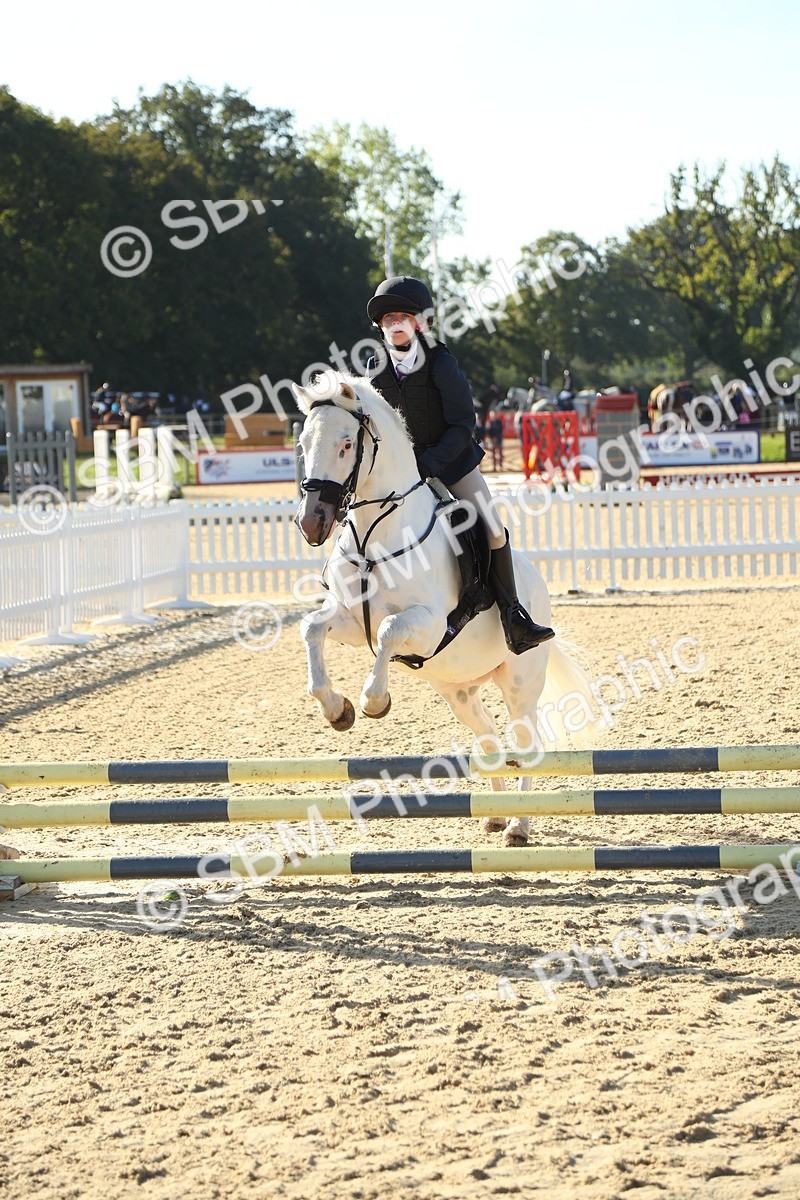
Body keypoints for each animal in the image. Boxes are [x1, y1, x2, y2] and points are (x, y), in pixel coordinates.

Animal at [293, 371, 597, 847]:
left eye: (345, 444)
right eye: (303, 443)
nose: (312, 523)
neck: (374, 538)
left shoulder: (430, 624)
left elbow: (389, 631)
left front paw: (374, 701)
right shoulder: (351, 621)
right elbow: (312, 628)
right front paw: (336, 708)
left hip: (519, 683)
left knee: (526, 745)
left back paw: (519, 826)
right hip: (460, 692)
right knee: (490, 741)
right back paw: (496, 816)